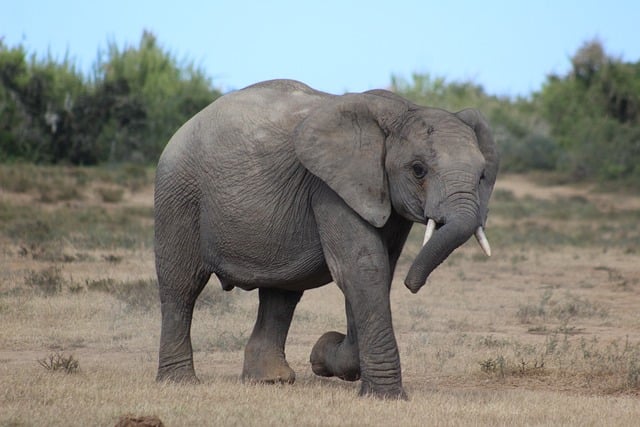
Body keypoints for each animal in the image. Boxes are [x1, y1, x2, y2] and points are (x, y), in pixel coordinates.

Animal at [154, 79, 499, 399]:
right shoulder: (329, 186)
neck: (403, 111)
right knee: (182, 285)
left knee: (281, 293)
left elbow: (377, 270)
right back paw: (180, 382)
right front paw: (383, 396)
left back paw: (270, 381)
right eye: (418, 170)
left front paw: (323, 355)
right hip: (179, 194)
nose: (412, 285)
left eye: (483, 175)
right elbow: (362, 268)